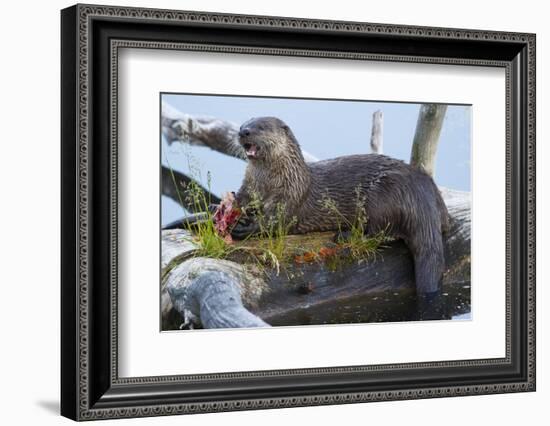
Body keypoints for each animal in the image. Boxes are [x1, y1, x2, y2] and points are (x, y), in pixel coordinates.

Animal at [235, 116, 450, 296]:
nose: (243, 132)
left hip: (383, 197)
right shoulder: (247, 189)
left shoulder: (288, 198)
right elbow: (240, 201)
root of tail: (422, 199)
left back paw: (344, 235)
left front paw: (243, 228)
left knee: (379, 233)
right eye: (243, 124)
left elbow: (274, 223)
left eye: (261, 127)